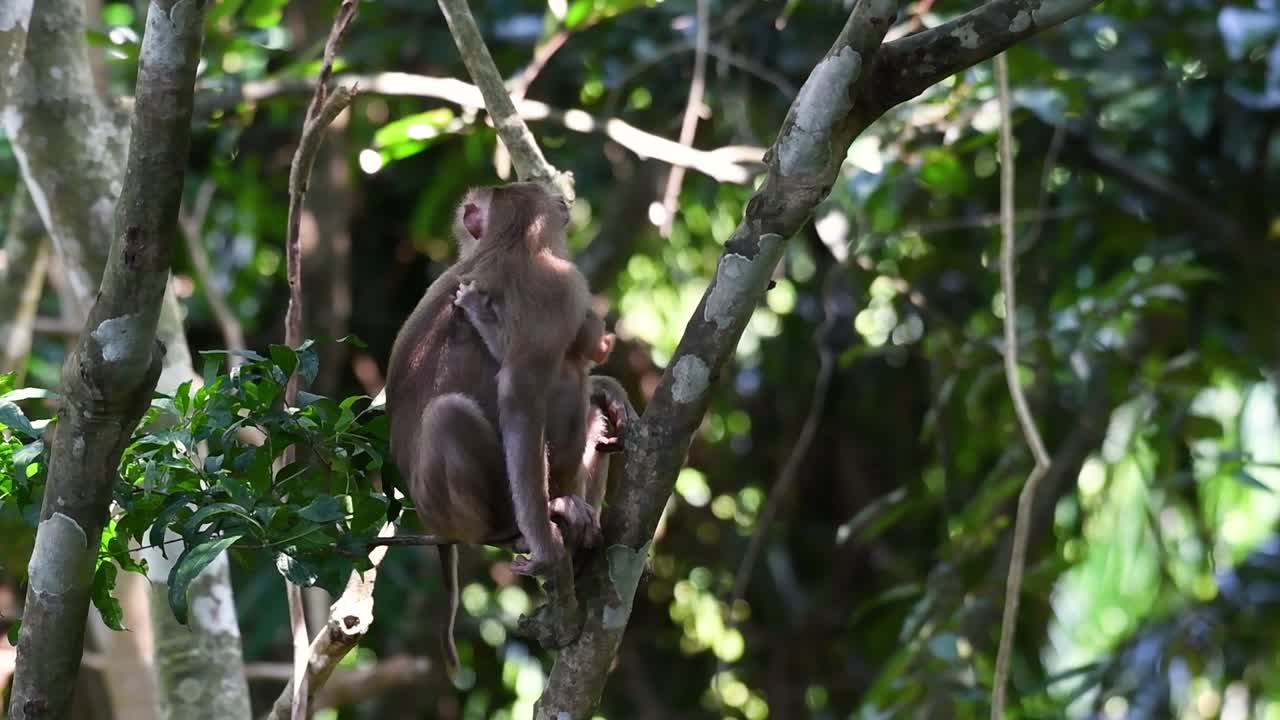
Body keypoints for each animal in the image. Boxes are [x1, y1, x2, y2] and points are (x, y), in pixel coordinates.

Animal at [383, 181, 633, 676]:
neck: (509, 240)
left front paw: (610, 388)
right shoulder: (562, 287)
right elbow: (519, 396)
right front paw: (547, 550)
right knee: (450, 415)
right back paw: (522, 526)